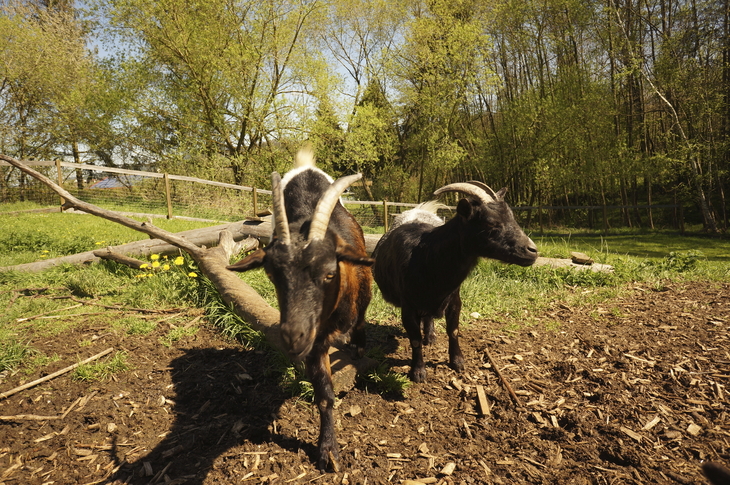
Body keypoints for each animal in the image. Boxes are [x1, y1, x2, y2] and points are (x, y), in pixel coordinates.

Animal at [227, 149, 373, 470]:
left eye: (330, 273)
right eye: (271, 274)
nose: (294, 337)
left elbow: (360, 322)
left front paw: (358, 346)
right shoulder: (314, 341)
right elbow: (325, 395)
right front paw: (328, 450)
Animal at [372, 181, 538, 382]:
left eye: (512, 218)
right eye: (491, 223)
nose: (532, 250)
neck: (427, 257)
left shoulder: (454, 300)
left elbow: (453, 331)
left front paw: (457, 362)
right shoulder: (408, 306)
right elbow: (415, 340)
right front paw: (418, 372)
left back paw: (431, 337)